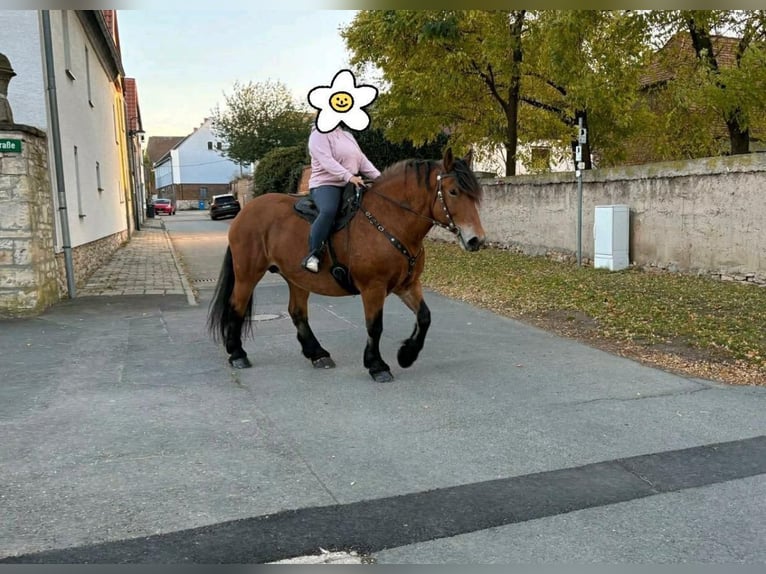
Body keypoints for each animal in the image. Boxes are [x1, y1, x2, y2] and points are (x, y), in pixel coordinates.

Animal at [208, 146, 486, 384]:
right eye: (453, 191)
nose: (477, 240)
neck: (391, 221)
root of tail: (245, 212)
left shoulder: (408, 285)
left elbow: (425, 317)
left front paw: (406, 355)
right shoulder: (373, 288)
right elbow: (375, 326)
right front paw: (377, 366)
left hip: (297, 279)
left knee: (297, 312)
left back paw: (317, 353)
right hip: (248, 274)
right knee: (236, 306)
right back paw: (237, 354)